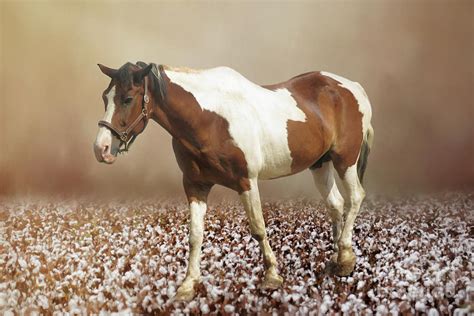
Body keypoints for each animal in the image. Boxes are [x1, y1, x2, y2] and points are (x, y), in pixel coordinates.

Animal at [92, 61, 374, 302]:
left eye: (127, 99)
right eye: (105, 97)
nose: (101, 149)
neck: (210, 118)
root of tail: (352, 87)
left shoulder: (246, 182)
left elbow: (258, 228)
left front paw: (271, 276)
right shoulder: (195, 186)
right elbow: (195, 235)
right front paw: (188, 285)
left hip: (345, 159)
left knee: (355, 198)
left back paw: (346, 258)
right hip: (320, 164)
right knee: (336, 204)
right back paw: (338, 258)